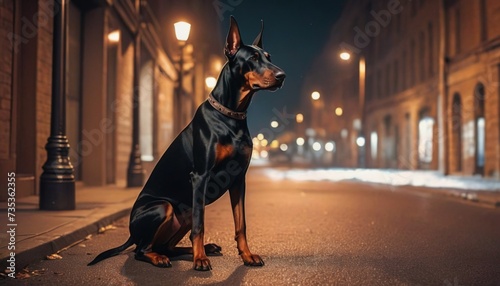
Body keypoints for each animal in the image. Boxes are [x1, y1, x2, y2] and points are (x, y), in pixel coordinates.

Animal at [88, 15, 286, 270]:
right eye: (252, 58)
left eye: (268, 57)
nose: (282, 76)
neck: (231, 115)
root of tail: (131, 233)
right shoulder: (200, 177)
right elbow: (200, 225)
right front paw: (199, 260)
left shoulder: (238, 179)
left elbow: (240, 224)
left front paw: (247, 255)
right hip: (165, 206)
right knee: (141, 250)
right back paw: (164, 257)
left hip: (185, 211)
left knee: (167, 246)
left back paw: (204, 248)